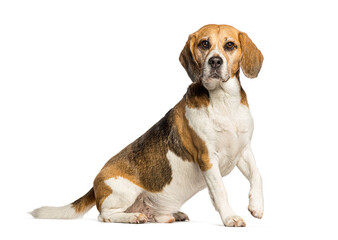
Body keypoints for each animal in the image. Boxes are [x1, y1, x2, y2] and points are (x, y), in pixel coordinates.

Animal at [30, 24, 264, 227]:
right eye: (204, 44)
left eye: (230, 45)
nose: (215, 61)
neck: (224, 101)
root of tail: (95, 184)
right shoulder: (207, 158)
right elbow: (221, 192)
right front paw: (230, 218)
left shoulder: (243, 150)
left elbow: (257, 175)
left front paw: (256, 205)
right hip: (122, 192)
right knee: (104, 215)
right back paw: (133, 217)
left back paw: (169, 215)